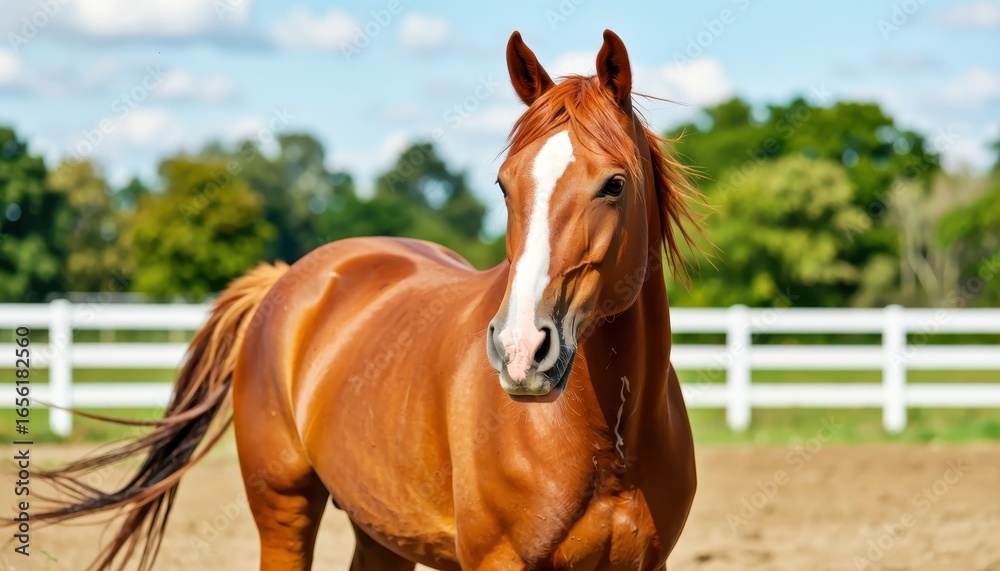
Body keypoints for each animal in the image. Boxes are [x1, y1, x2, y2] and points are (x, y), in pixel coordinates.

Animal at [34, 30, 700, 570]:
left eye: (614, 184)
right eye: (504, 184)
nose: (519, 351)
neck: (604, 442)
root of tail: (286, 281)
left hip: (383, 531)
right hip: (284, 508)